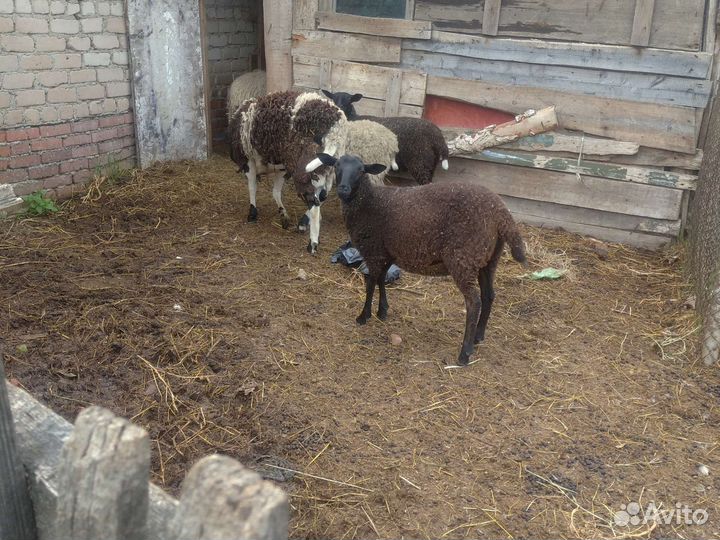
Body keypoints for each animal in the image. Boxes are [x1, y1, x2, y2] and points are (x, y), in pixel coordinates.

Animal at [229, 90, 349, 253]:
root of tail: (335, 131)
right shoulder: (283, 168)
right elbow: (276, 192)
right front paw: (283, 216)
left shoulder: (249, 162)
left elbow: (252, 187)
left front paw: (252, 214)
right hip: (326, 169)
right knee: (321, 196)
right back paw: (305, 224)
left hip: (304, 170)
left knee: (313, 202)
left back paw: (312, 243)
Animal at [315, 152, 527, 366]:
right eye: (337, 165)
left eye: (360, 170)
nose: (343, 188)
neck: (369, 202)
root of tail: (501, 212)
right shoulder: (387, 253)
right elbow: (381, 280)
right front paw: (382, 311)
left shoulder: (373, 250)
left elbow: (370, 284)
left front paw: (363, 316)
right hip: (488, 258)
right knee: (489, 295)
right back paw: (478, 336)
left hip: (463, 258)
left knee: (474, 303)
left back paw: (464, 353)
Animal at [321, 90, 450, 185]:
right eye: (333, 98)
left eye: (349, 100)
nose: (339, 109)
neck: (354, 118)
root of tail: (437, 136)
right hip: (430, 164)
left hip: (419, 161)